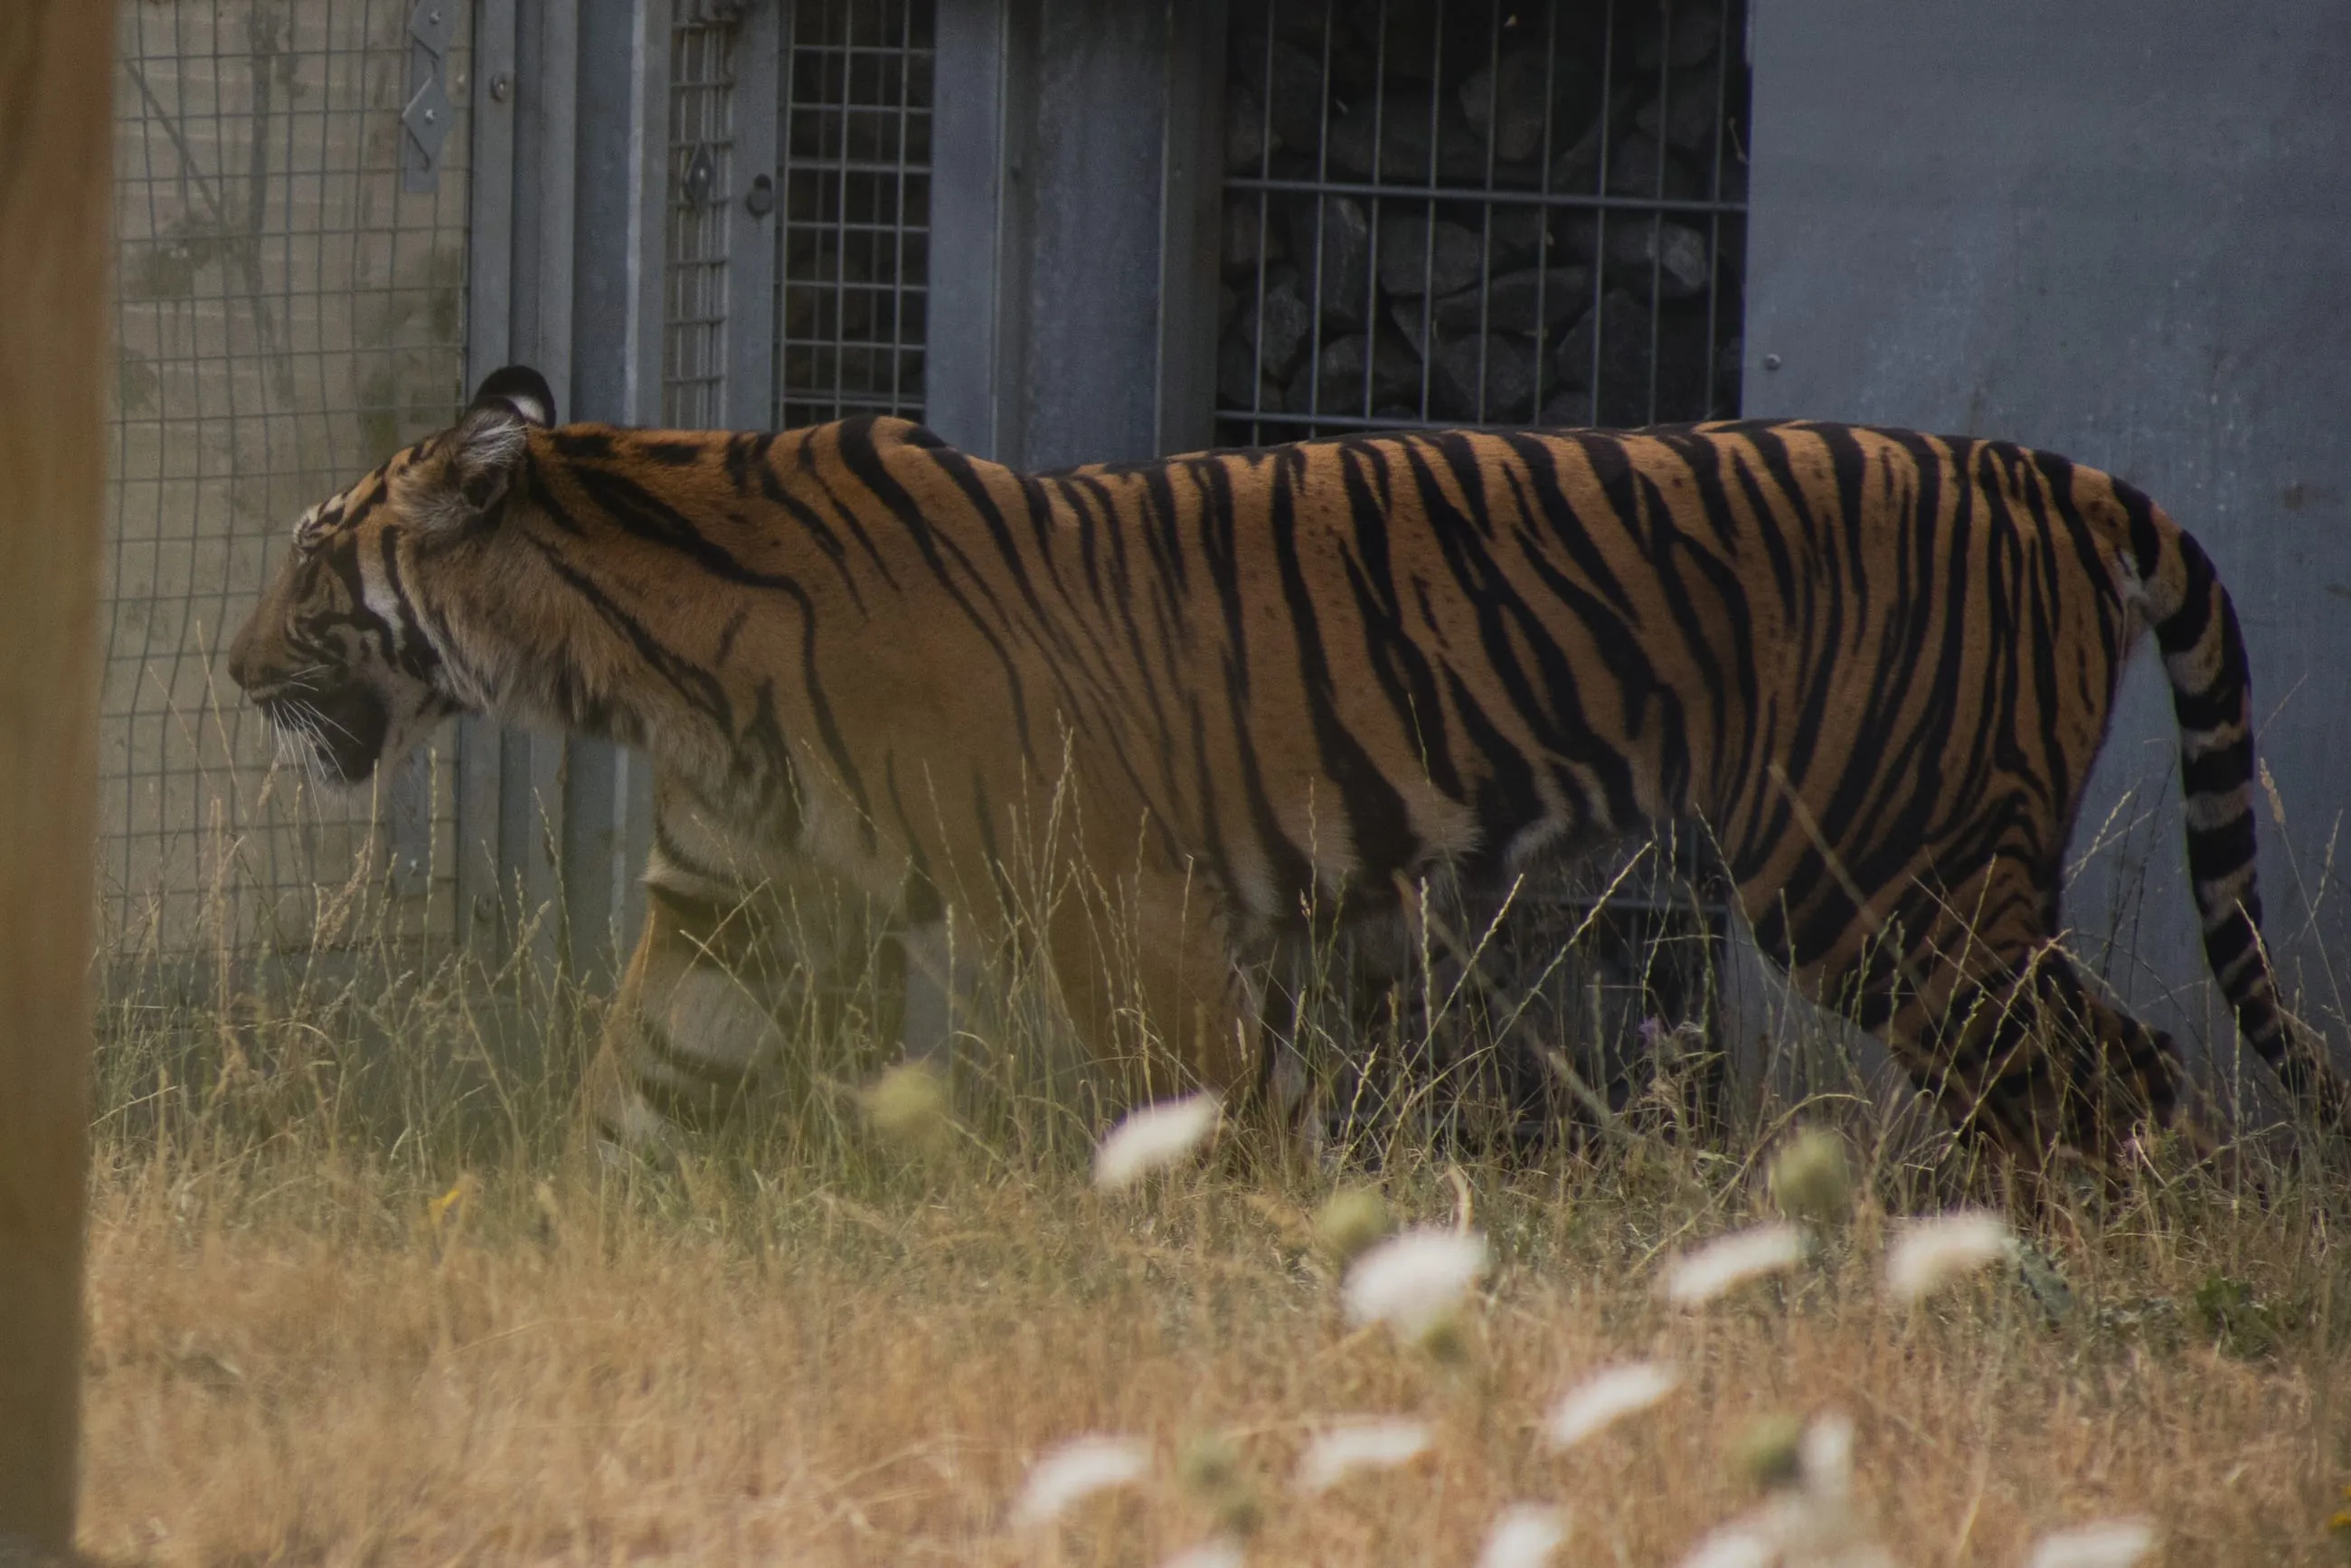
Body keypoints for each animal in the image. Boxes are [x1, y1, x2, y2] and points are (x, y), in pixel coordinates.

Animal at [225, 363, 2346, 1176]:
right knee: (2086, 1078)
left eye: (311, 557)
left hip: (1880, 872)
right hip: (1913, 888)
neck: (642, 655)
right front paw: (539, 1249)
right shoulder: (733, 903)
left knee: (2105, 1077)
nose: (232, 667)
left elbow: (1217, 1113)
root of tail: (2053, 470)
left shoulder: (1109, 899)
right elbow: (628, 1094)